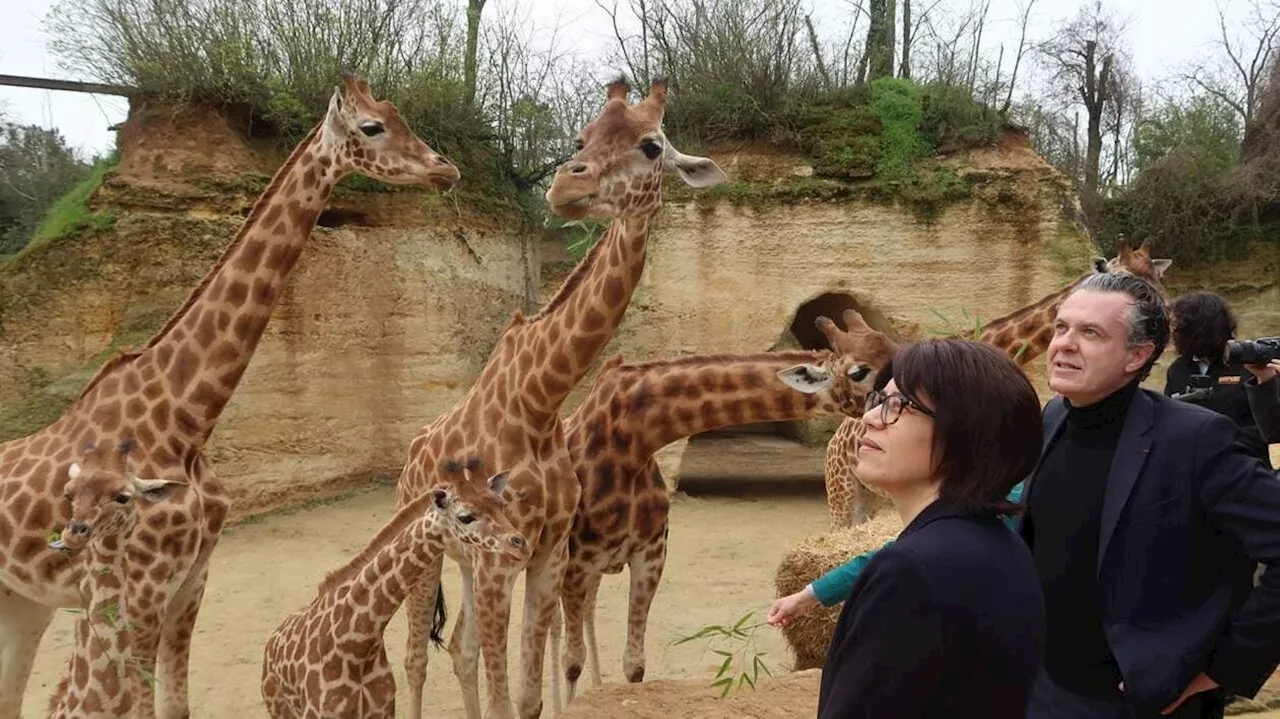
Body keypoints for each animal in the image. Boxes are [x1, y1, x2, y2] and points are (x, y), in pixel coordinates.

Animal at [262, 458, 532, 716]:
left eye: (502, 506)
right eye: (465, 517)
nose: (520, 545)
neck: (357, 641)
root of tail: (271, 643)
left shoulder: (382, 709)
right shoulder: (321, 712)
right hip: (279, 708)